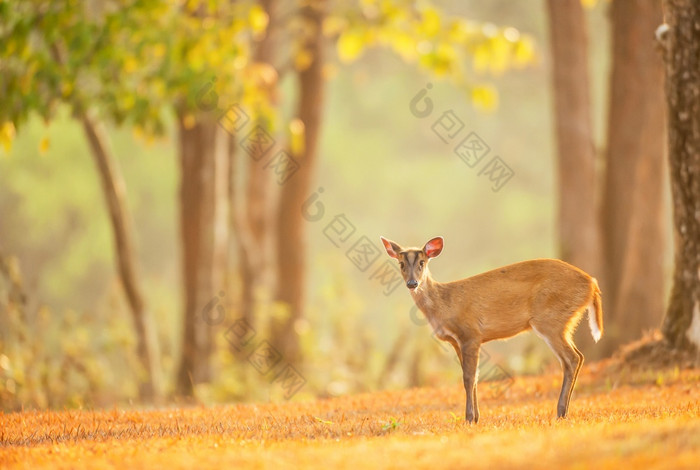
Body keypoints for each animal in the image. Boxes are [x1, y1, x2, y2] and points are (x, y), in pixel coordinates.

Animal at [380, 235, 604, 422]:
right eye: (401, 263)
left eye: (422, 262)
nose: (412, 283)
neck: (444, 305)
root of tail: (592, 284)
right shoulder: (457, 341)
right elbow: (474, 377)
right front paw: (476, 417)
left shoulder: (470, 333)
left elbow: (469, 377)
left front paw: (469, 418)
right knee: (575, 358)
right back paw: (563, 411)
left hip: (551, 319)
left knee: (572, 358)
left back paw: (561, 412)